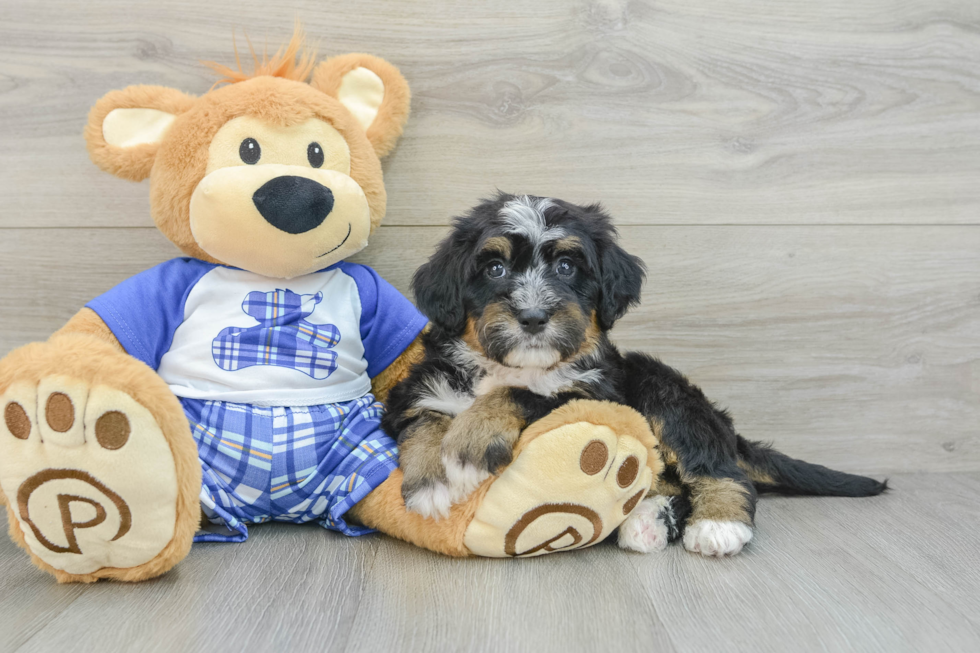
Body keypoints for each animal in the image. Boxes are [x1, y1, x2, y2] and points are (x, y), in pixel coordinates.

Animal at [384, 192, 888, 556]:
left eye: (566, 266)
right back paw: (646, 522)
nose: (532, 317)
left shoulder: (594, 392)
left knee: (718, 470)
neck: (514, 365)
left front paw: (470, 441)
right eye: (494, 268)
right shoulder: (416, 392)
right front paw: (431, 482)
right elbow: (425, 421)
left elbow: (525, 394)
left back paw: (717, 524)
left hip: (663, 391)